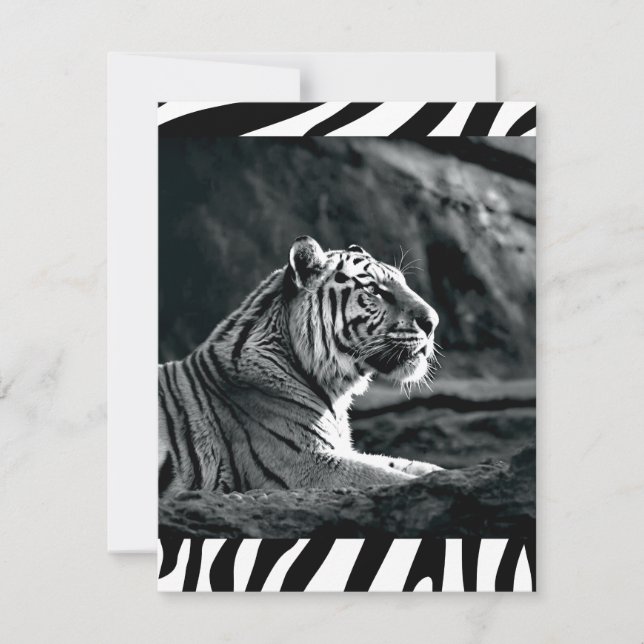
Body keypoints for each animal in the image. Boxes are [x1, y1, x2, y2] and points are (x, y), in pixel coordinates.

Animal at [158, 235, 443, 497]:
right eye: (374, 289)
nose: (433, 322)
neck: (336, 392)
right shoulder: (307, 464)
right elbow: (387, 477)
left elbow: (408, 465)